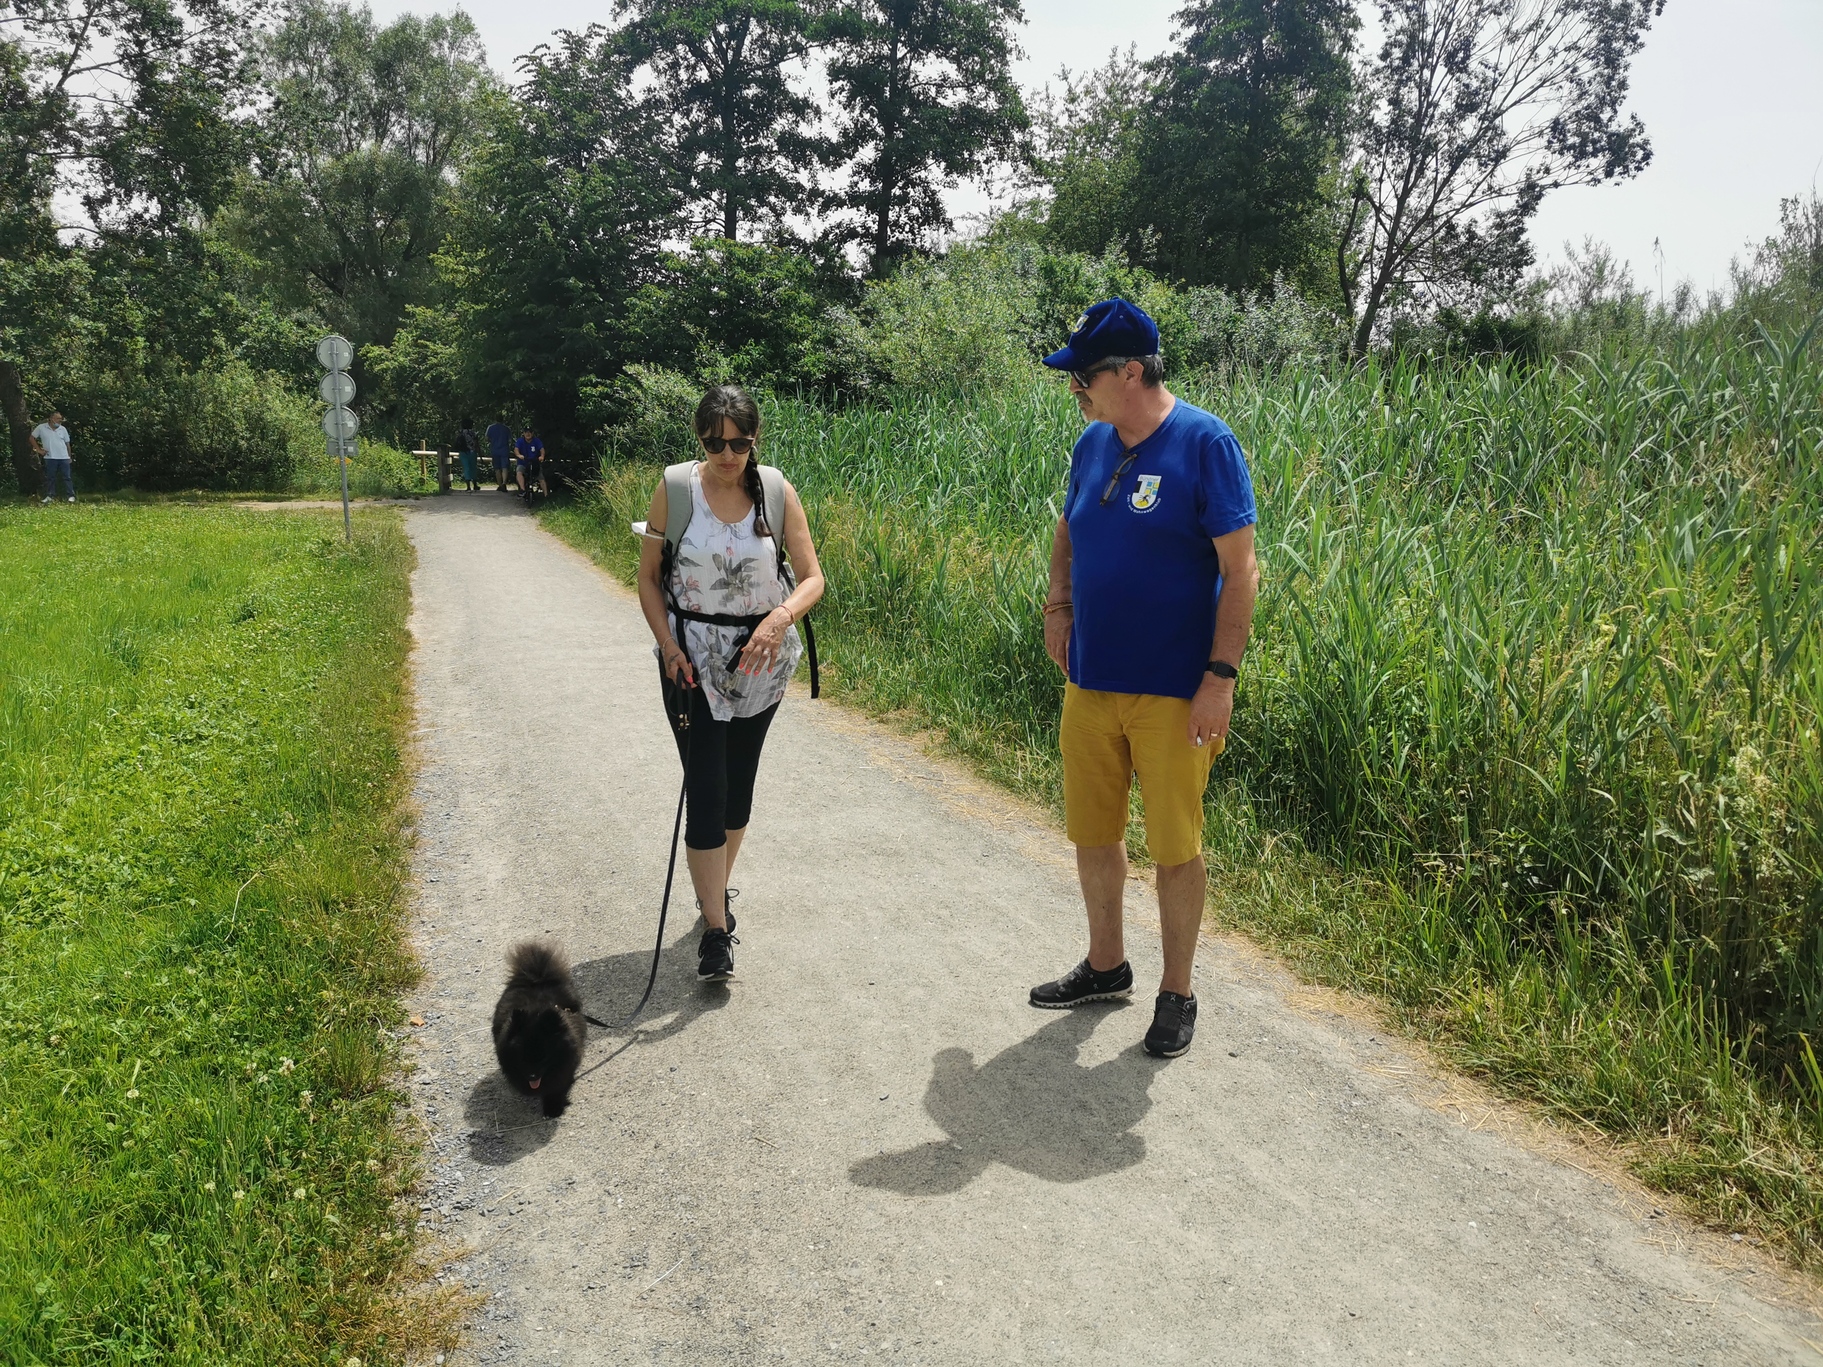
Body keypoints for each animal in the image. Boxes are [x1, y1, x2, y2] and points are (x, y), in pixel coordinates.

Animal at [491, 942, 588, 1117]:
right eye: (522, 1057)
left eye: (544, 1057)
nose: (532, 1076)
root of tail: (537, 978)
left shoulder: (564, 1070)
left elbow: (557, 1088)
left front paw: (553, 1108)